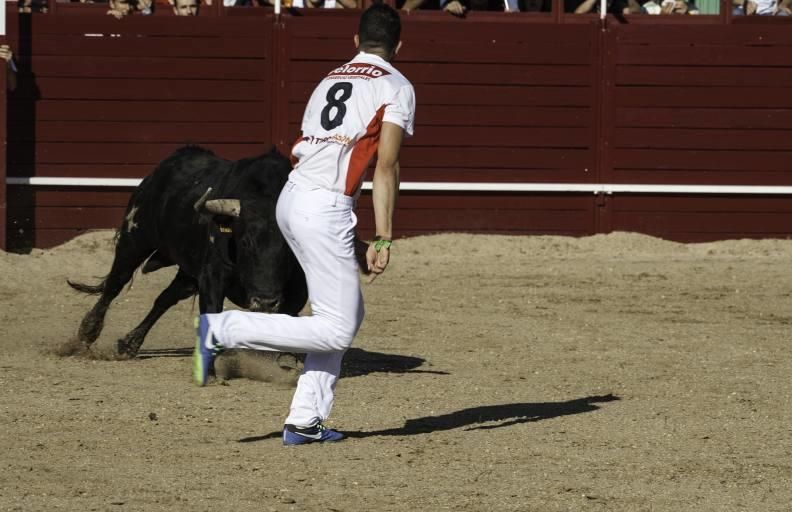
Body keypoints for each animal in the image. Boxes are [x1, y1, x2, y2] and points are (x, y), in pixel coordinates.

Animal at [67, 144, 306, 360]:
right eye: (245, 242)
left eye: (290, 246)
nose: (265, 302)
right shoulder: (213, 275)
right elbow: (212, 310)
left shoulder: (297, 292)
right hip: (134, 239)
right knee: (116, 283)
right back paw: (88, 332)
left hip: (188, 271)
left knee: (166, 298)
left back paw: (129, 344)